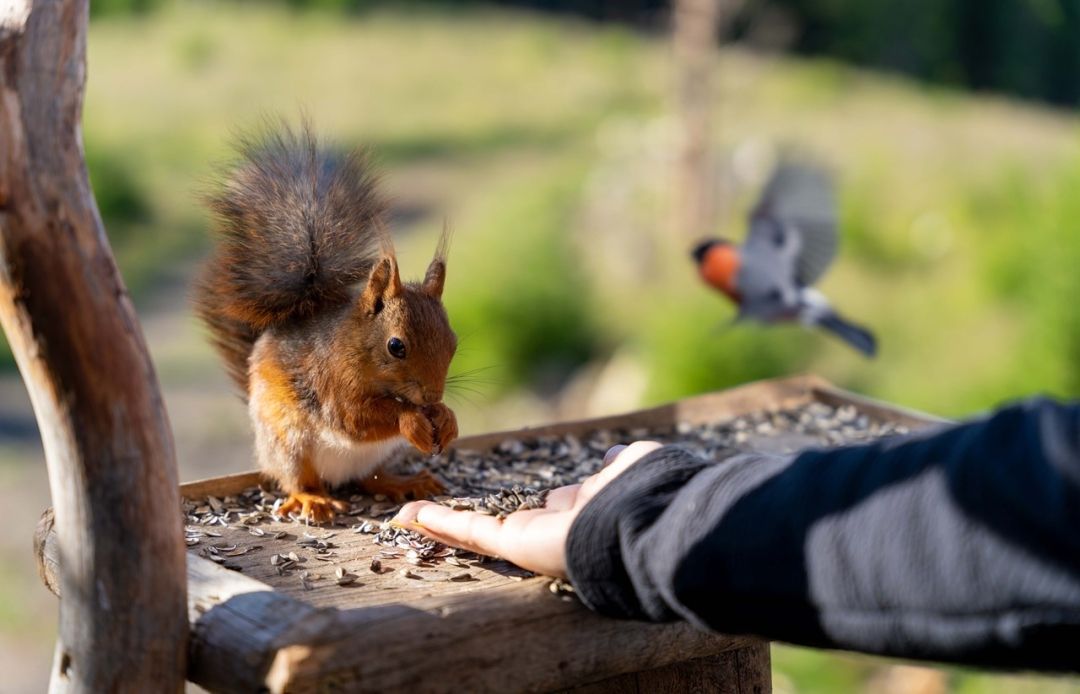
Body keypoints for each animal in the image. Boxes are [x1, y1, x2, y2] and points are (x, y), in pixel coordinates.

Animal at [196, 124, 457, 522]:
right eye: (396, 346)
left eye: (453, 343)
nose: (432, 397)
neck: (355, 347)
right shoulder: (332, 381)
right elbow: (356, 419)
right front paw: (412, 419)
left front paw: (445, 417)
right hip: (288, 443)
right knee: (297, 479)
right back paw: (312, 499)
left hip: (379, 455)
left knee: (368, 478)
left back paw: (402, 481)